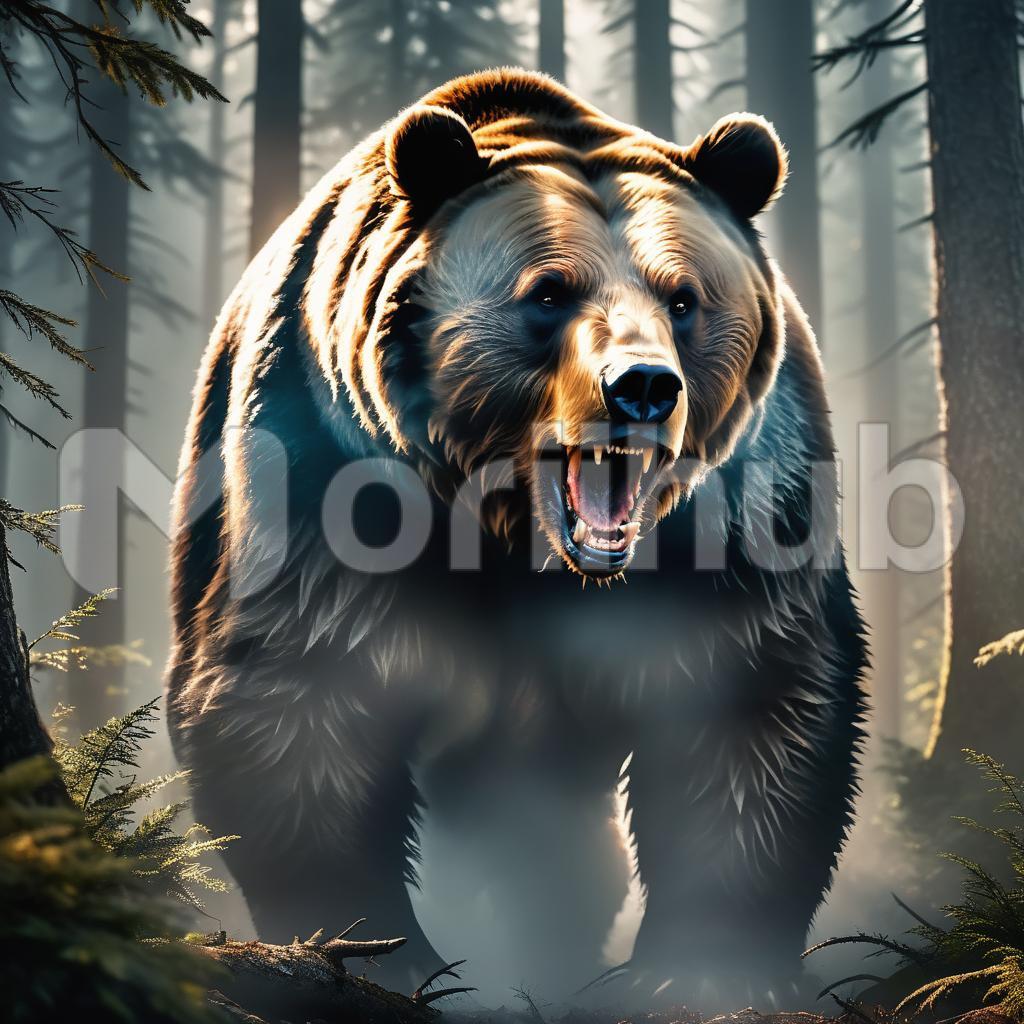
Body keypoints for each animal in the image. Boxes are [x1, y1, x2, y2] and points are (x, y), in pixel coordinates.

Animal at [165, 69, 868, 1008]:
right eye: (548, 292)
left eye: (683, 297)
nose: (643, 387)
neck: (521, 545)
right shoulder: (331, 478)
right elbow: (297, 694)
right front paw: (379, 950)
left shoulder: (740, 510)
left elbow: (750, 696)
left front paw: (700, 969)